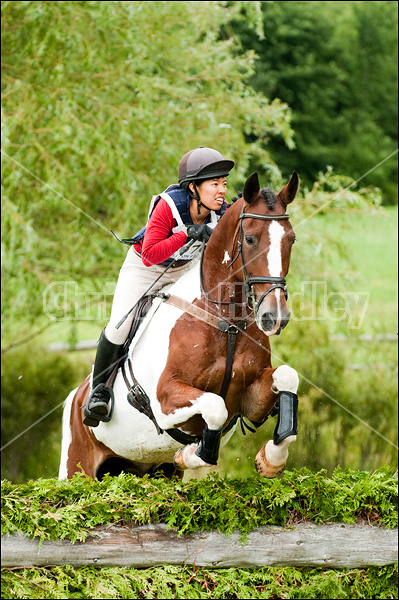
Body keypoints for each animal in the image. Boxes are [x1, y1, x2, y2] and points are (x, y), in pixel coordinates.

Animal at [60, 171, 300, 480]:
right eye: (249, 239)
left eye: (291, 240)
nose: (275, 316)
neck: (227, 323)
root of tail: (74, 398)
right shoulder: (166, 398)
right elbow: (215, 407)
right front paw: (192, 453)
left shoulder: (252, 397)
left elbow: (287, 377)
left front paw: (271, 458)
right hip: (76, 467)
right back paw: (97, 402)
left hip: (151, 468)